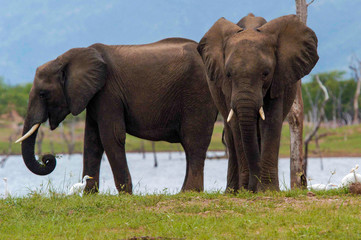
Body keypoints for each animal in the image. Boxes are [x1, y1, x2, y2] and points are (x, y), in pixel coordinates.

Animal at [16, 38, 217, 194]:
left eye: (43, 94)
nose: (47, 159)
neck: (66, 59)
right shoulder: (94, 95)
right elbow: (92, 140)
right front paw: (89, 195)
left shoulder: (108, 92)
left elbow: (111, 136)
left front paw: (126, 195)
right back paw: (184, 192)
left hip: (198, 92)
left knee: (193, 141)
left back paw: (189, 192)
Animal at [197, 14, 318, 192]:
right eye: (228, 75)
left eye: (265, 73)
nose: (252, 187)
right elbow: (237, 126)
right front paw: (246, 190)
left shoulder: (279, 77)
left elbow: (270, 121)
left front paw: (267, 190)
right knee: (231, 136)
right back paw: (233, 191)